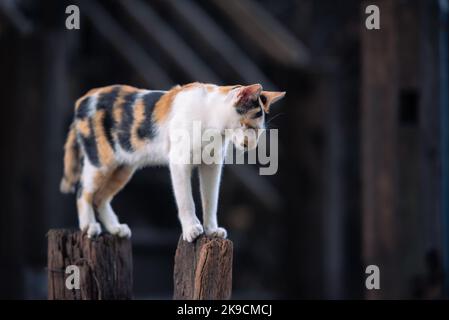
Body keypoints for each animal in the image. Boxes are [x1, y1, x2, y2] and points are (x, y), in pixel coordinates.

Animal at [60, 82, 284, 242]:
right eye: (249, 126)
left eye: (259, 131)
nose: (251, 144)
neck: (211, 121)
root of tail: (83, 99)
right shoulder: (179, 162)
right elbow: (186, 200)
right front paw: (192, 230)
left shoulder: (211, 166)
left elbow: (210, 199)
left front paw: (211, 230)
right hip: (100, 161)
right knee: (83, 191)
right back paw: (90, 227)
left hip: (123, 167)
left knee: (100, 198)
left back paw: (116, 229)